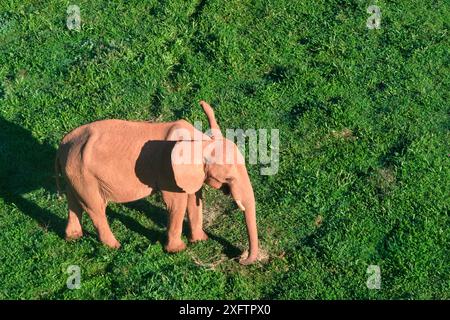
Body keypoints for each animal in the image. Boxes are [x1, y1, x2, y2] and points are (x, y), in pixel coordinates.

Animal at [55, 100, 260, 264]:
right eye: (229, 178)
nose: (240, 258)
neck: (200, 142)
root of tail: (63, 143)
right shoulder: (168, 170)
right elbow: (177, 203)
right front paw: (178, 250)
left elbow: (194, 199)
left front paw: (201, 240)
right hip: (83, 175)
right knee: (96, 208)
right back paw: (115, 246)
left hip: (74, 173)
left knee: (75, 202)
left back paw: (73, 237)